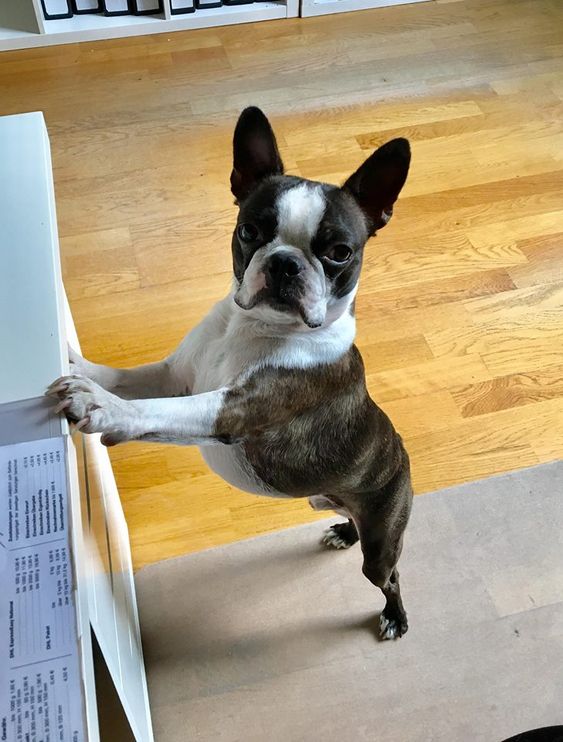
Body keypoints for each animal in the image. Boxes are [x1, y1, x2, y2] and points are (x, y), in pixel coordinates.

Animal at [47, 107, 414, 644]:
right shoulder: (175, 375)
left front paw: (101, 405)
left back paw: (394, 614)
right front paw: (82, 368)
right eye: (250, 231)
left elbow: (157, 411)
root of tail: (405, 456)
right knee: (349, 518)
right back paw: (344, 530)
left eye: (340, 252)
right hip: (331, 499)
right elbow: (126, 377)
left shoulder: (231, 409)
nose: (284, 264)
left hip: (383, 536)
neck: (251, 325)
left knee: (389, 574)